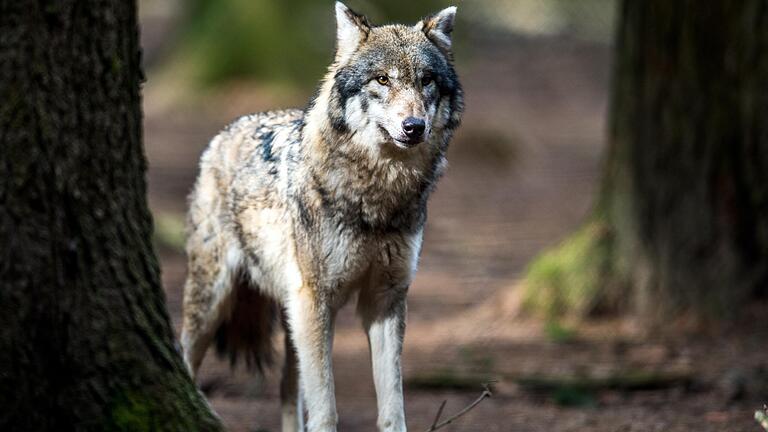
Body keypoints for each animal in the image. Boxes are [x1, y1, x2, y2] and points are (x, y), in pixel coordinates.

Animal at [182, 4, 462, 432]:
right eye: (382, 79)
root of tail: (225, 132)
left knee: (286, 388)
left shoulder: (385, 299)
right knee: (184, 359)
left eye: (427, 80)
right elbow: (326, 407)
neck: (377, 198)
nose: (414, 127)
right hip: (214, 301)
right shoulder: (317, 301)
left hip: (290, 315)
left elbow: (392, 407)